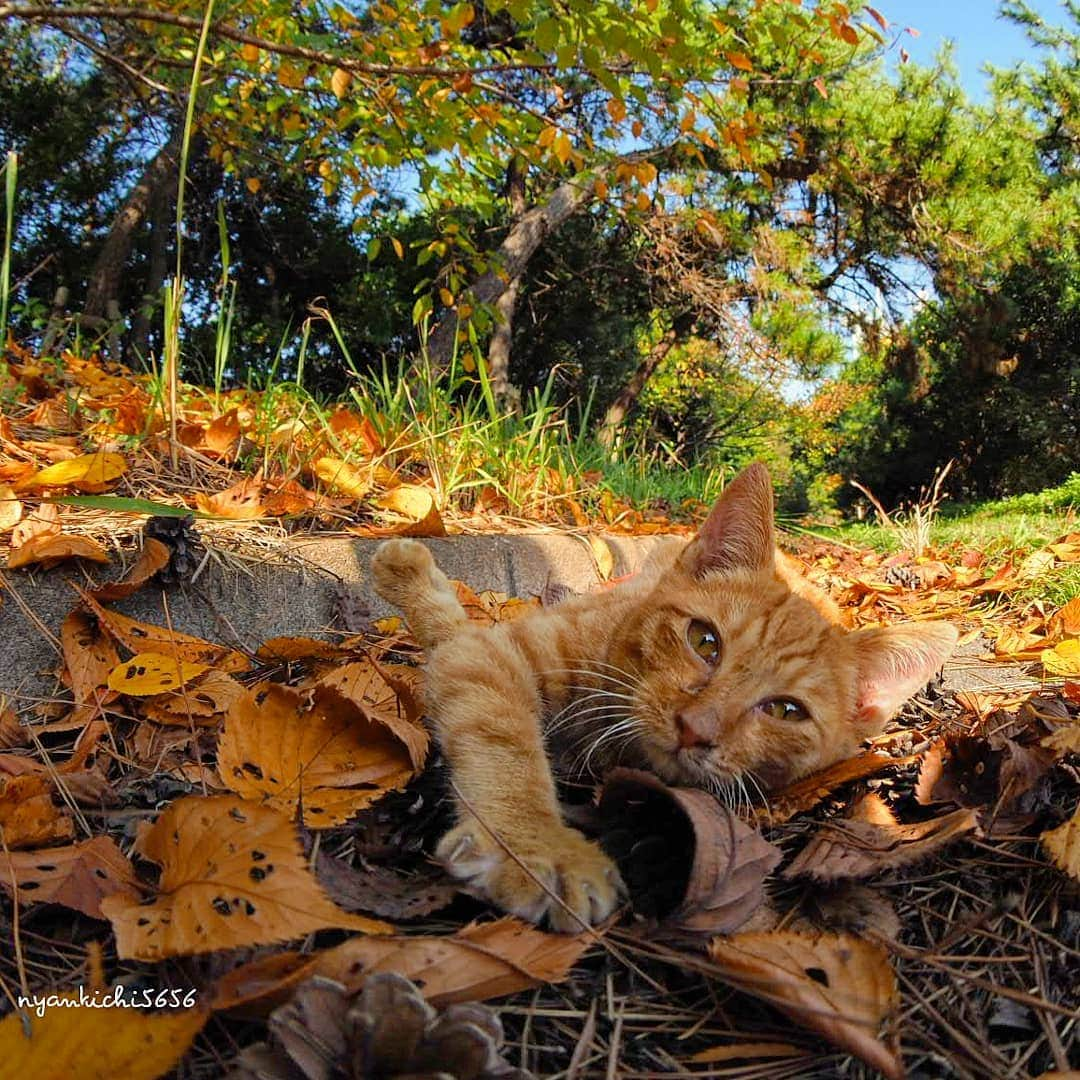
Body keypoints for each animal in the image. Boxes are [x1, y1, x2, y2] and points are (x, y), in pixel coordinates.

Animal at [371, 462, 954, 928]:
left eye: (786, 711)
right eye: (705, 641)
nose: (696, 728)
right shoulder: (494, 653)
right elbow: (502, 740)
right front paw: (535, 844)